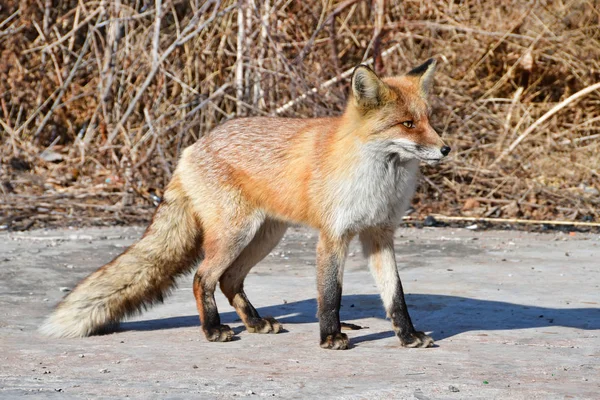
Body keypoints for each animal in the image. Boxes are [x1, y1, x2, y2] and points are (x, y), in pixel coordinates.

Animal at [39, 60, 450, 350]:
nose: (446, 148)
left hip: (264, 236)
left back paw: (254, 323)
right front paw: (331, 337)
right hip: (236, 235)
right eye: (407, 124)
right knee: (203, 277)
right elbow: (330, 295)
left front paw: (408, 336)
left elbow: (396, 296)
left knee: (229, 280)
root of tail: (192, 147)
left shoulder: (379, 235)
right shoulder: (333, 237)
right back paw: (213, 329)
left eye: (430, 120)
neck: (379, 179)